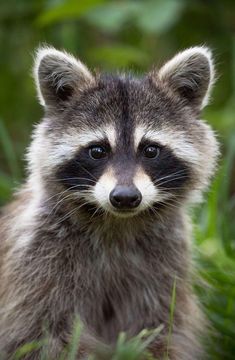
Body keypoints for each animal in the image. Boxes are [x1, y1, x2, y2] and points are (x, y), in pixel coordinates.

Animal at [0, 46, 219, 358]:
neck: (116, 222)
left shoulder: (167, 266)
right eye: (97, 151)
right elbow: (39, 335)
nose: (125, 198)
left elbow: (166, 330)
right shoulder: (35, 261)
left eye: (150, 150)